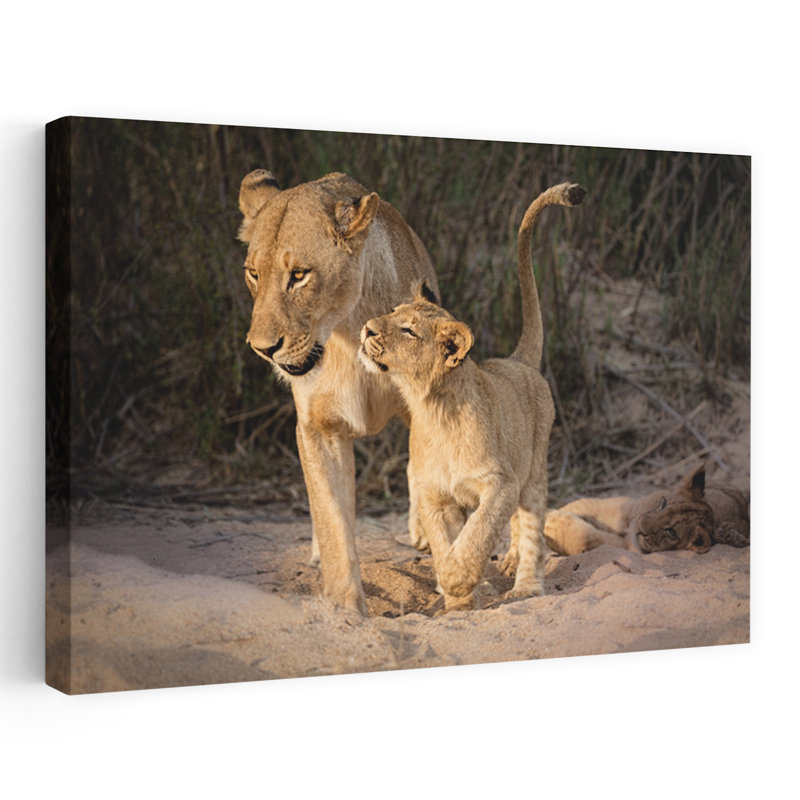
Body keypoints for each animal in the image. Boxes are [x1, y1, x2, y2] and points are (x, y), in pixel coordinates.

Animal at [238, 169, 438, 614]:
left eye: (299, 275)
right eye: (253, 273)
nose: (263, 349)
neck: (346, 333)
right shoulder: (317, 429)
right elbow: (333, 518)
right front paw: (346, 608)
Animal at [360, 183, 586, 611]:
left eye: (408, 330)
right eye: (393, 311)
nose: (365, 328)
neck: (432, 407)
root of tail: (516, 361)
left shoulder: (500, 482)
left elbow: (477, 534)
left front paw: (457, 580)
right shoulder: (435, 495)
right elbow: (444, 541)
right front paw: (459, 595)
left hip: (532, 470)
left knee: (531, 525)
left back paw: (525, 583)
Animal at [543, 463, 750, 556]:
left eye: (671, 531)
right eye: (663, 504)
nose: (641, 527)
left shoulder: (630, 546)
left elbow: (586, 538)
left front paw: (552, 524)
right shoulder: (627, 507)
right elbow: (586, 504)